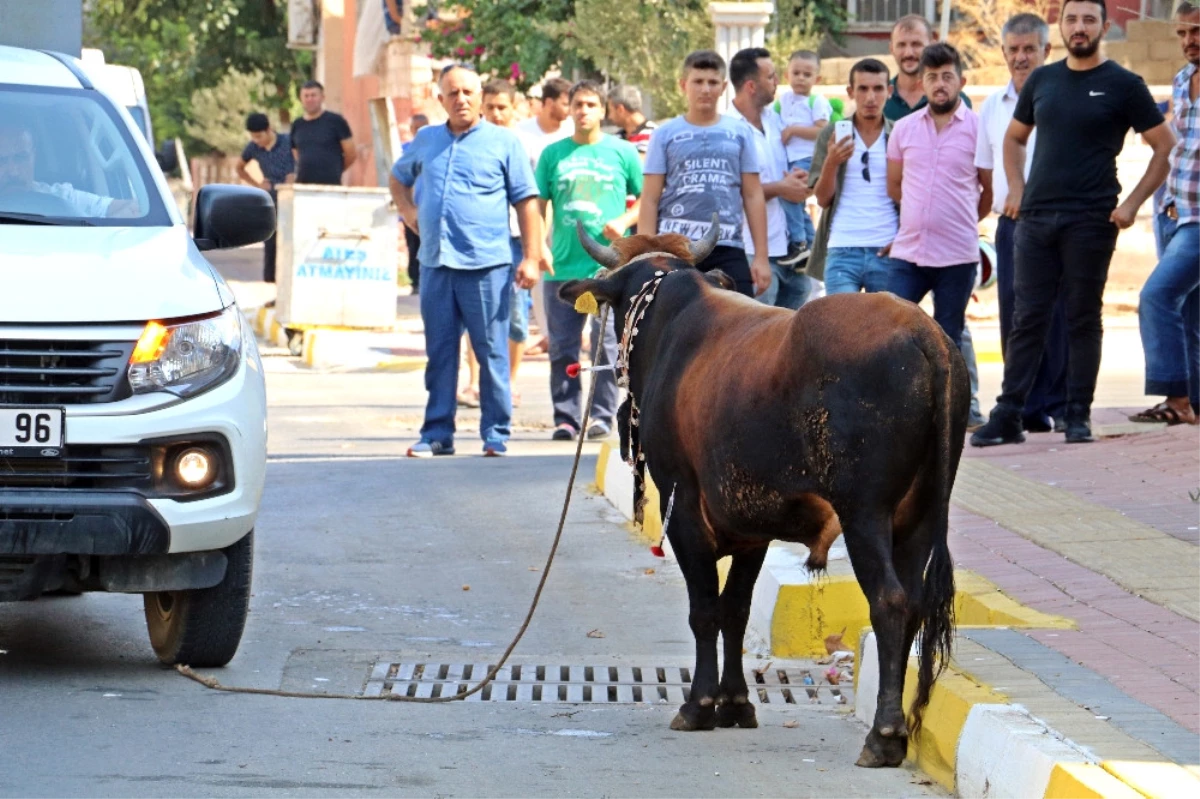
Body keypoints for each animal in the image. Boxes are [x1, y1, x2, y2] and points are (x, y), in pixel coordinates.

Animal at [564, 218, 974, 767]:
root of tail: (922, 331)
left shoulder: (684, 508)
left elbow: (704, 611)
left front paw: (699, 705)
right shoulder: (750, 527)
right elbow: (735, 610)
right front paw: (736, 702)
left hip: (866, 514)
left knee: (889, 602)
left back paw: (883, 735)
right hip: (920, 517)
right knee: (911, 604)